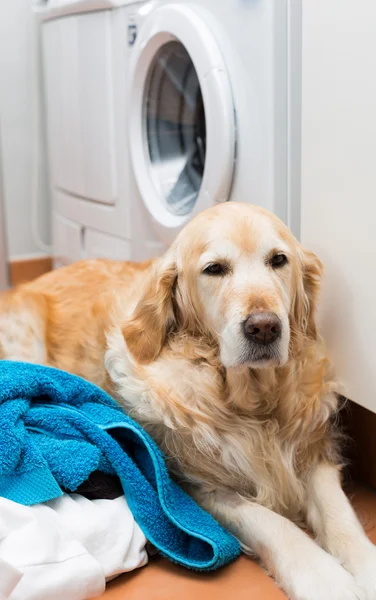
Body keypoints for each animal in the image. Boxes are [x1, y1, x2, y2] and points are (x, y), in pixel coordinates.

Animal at [0, 204, 376, 596]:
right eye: (215, 269)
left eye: (278, 260)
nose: (264, 327)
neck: (252, 404)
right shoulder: (197, 485)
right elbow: (272, 523)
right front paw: (325, 579)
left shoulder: (314, 453)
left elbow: (341, 516)